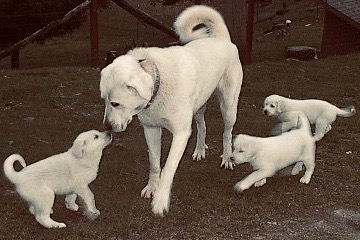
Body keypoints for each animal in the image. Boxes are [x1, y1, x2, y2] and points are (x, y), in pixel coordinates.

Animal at [100, 5, 243, 216]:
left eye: (115, 103)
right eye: (104, 100)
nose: (107, 127)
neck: (158, 81)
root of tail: (220, 38)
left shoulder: (181, 134)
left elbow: (167, 168)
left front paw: (160, 201)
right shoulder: (151, 129)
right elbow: (154, 163)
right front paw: (151, 188)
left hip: (228, 106)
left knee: (227, 133)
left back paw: (226, 158)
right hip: (198, 105)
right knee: (202, 125)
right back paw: (200, 150)